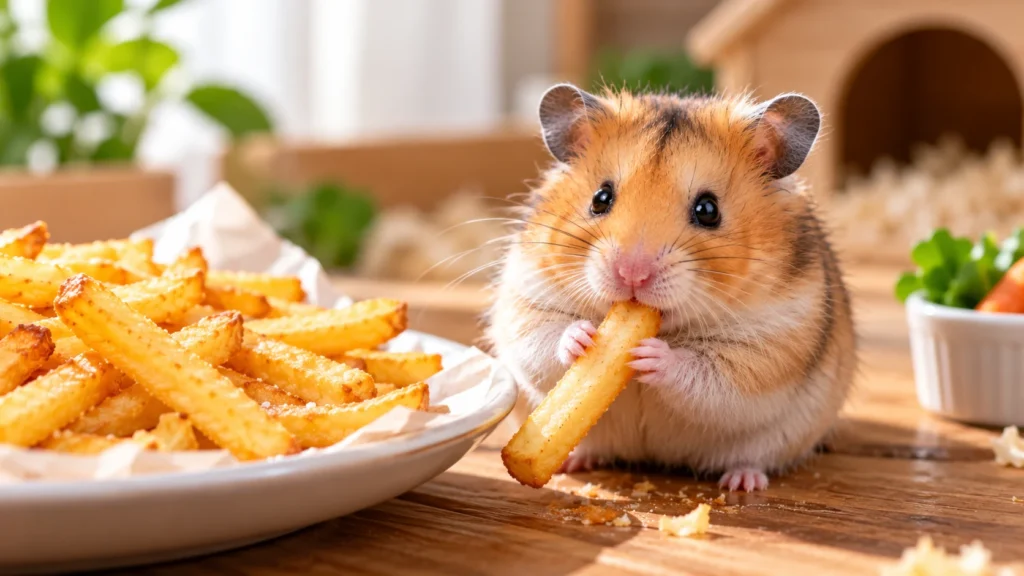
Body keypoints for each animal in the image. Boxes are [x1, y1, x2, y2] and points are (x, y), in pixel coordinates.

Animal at [484, 84, 856, 492]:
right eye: (600, 198)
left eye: (708, 209)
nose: (632, 274)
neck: (666, 327)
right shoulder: (526, 297)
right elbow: (541, 340)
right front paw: (583, 337)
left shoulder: (772, 341)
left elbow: (710, 375)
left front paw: (651, 355)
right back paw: (576, 461)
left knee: (754, 458)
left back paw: (742, 481)